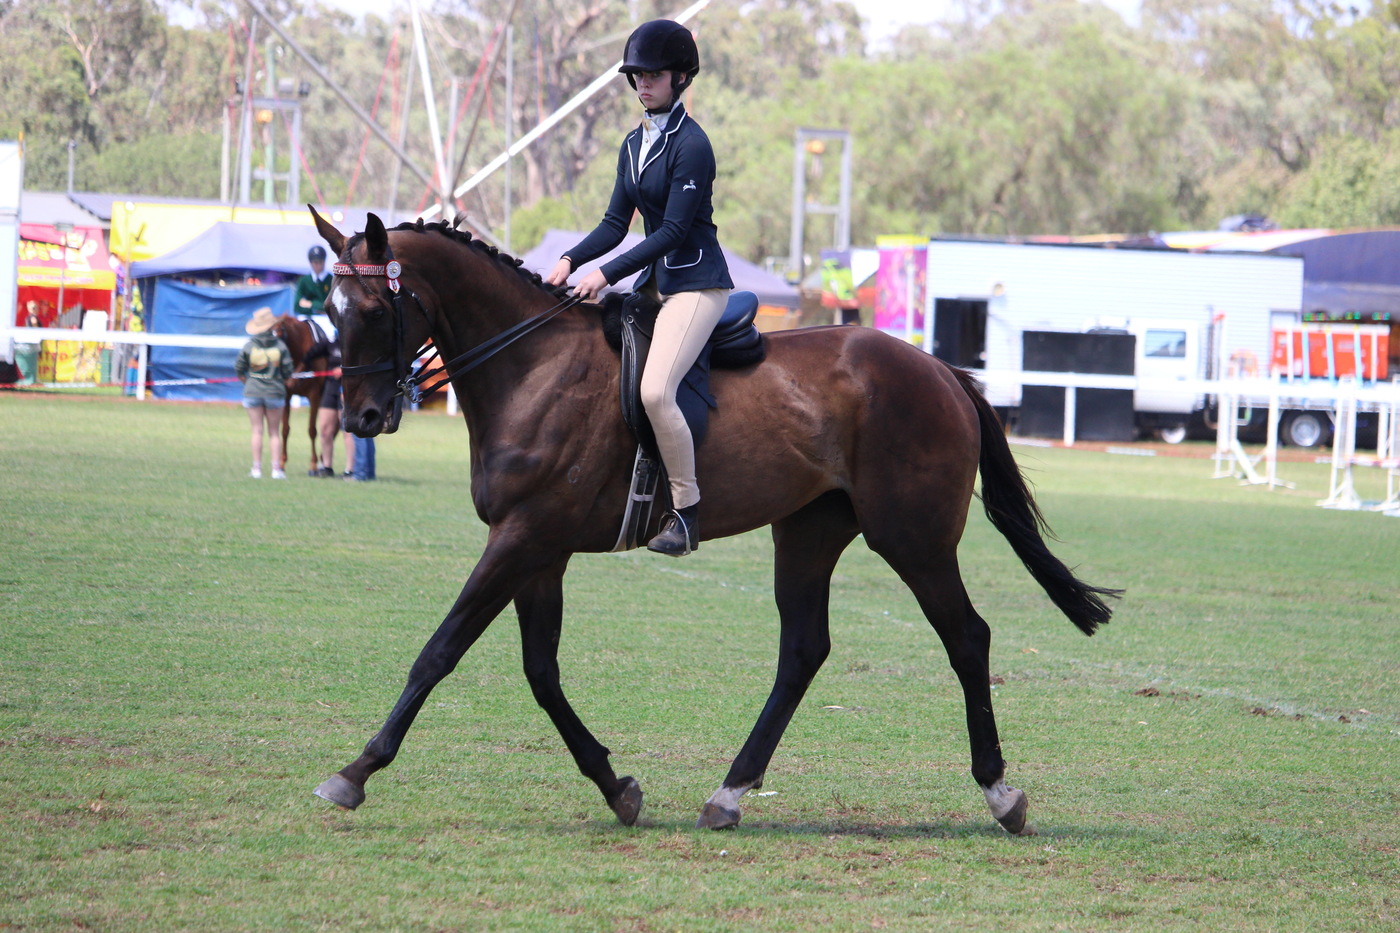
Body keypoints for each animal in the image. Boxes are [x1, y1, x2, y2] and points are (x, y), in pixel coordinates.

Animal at [271, 314, 328, 475]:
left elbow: (312, 430)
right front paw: (282, 463)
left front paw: (313, 464)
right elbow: (285, 430)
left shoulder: (314, 397)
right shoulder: (286, 396)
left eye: (280, 335)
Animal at [308, 208, 1120, 833]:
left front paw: (356, 770)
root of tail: (940, 370)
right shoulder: (539, 550)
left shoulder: (522, 539)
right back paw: (729, 792)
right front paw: (617, 787)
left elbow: (438, 651)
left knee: (966, 638)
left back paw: (1000, 793)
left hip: (912, 540)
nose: (362, 418)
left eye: (374, 310)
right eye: (331, 310)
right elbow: (541, 672)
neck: (533, 365)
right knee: (804, 650)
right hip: (809, 531)